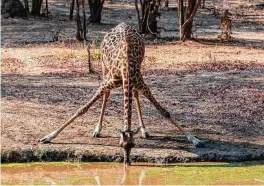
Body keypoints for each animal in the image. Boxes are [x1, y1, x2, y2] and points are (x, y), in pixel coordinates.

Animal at [39, 22, 204, 166]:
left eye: (133, 145)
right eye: (120, 145)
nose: (127, 162)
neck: (126, 68)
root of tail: (121, 24)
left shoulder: (140, 82)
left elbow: (164, 112)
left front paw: (195, 139)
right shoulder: (109, 81)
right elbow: (82, 109)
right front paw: (48, 137)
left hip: (139, 71)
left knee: (135, 94)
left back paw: (144, 130)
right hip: (104, 66)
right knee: (107, 94)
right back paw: (97, 130)